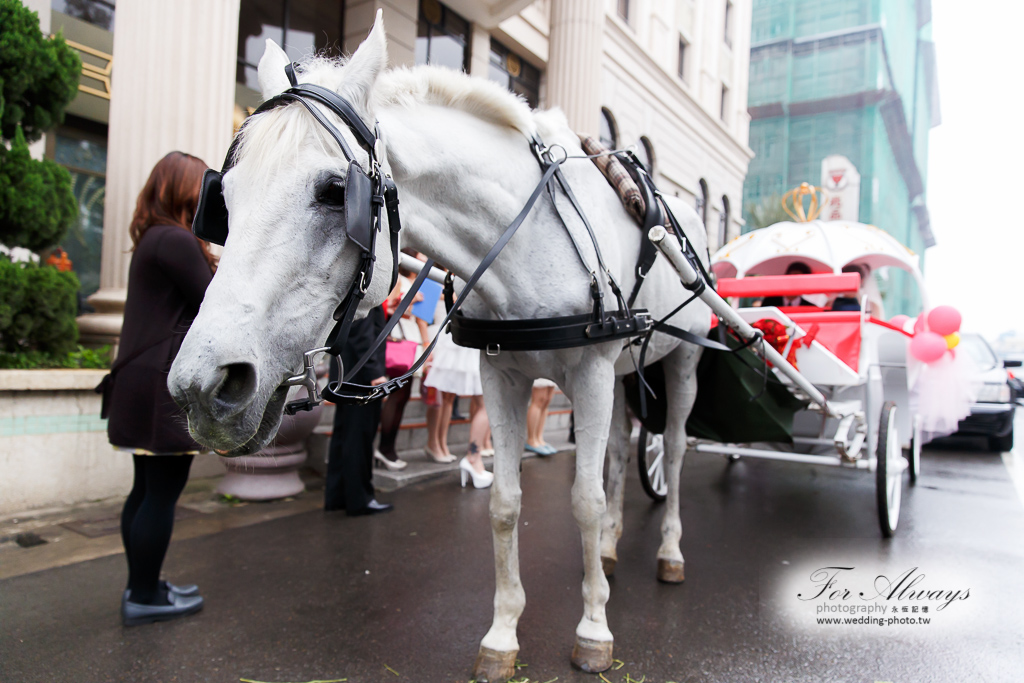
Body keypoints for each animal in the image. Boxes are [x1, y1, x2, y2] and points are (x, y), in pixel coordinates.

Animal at [169, 13, 712, 679]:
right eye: (223, 199)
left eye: (334, 191)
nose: (202, 388)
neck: (527, 240)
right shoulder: (504, 376)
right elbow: (504, 502)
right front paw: (503, 634)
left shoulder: (588, 372)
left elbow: (582, 500)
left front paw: (592, 629)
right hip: (621, 374)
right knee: (615, 453)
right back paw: (609, 547)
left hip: (681, 362)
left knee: (676, 452)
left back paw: (670, 552)